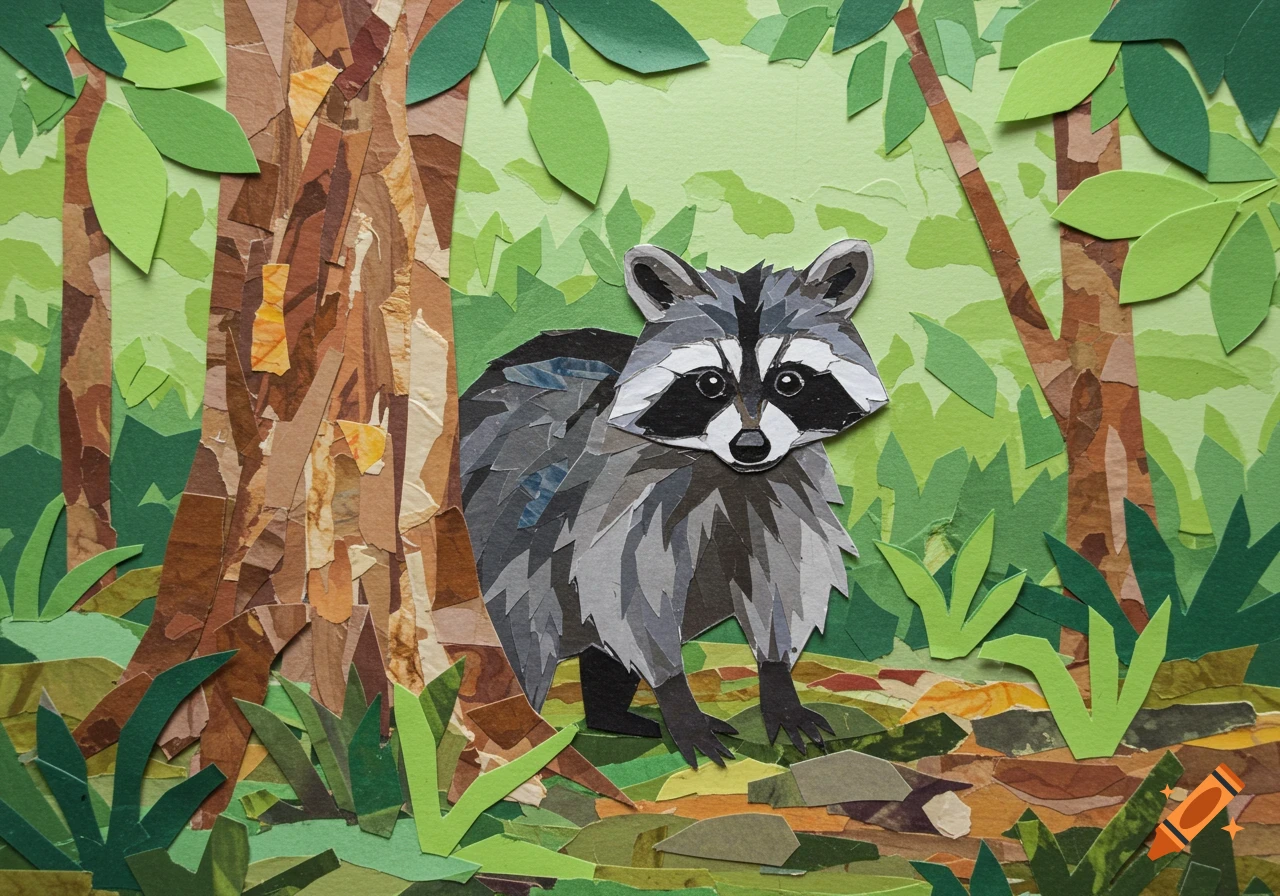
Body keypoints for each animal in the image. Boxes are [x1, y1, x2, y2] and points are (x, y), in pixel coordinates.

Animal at [460, 240, 887, 766]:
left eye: (790, 381)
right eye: (710, 384)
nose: (751, 446)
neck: (726, 471)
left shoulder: (779, 495)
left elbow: (780, 583)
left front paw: (777, 682)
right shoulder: (617, 498)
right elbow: (631, 600)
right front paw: (676, 699)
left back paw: (608, 714)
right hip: (501, 542)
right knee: (528, 628)